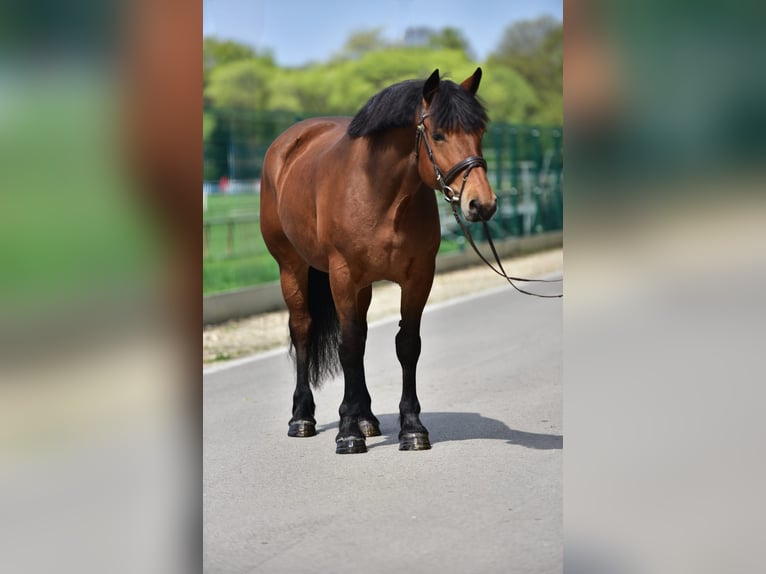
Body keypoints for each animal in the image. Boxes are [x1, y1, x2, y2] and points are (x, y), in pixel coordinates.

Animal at [260, 68, 496, 454]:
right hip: (292, 267)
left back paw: (367, 417)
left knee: (362, 334)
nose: (482, 203)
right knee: (304, 329)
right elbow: (348, 345)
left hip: (364, 285)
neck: (382, 194)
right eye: (438, 134)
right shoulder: (341, 275)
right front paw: (347, 432)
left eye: (480, 133)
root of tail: (288, 144)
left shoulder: (419, 277)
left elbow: (407, 344)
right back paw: (302, 418)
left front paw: (411, 428)